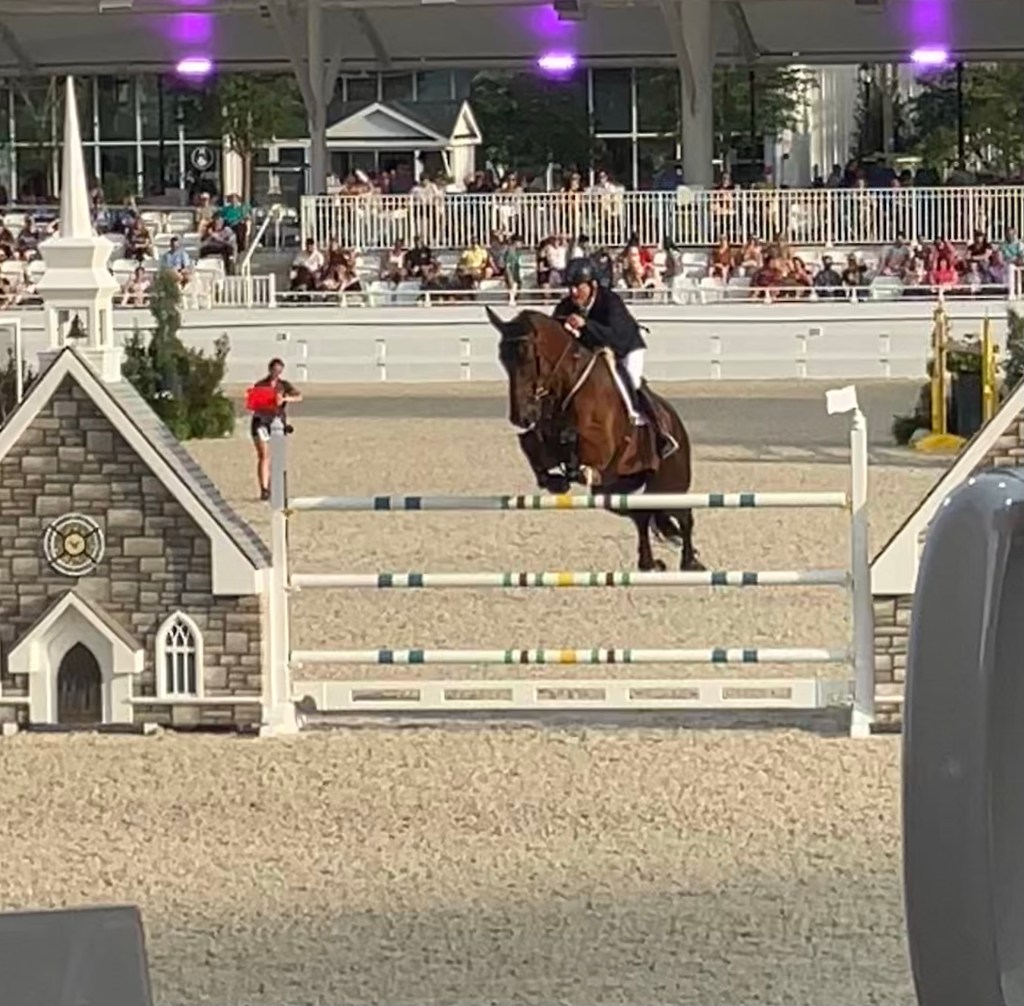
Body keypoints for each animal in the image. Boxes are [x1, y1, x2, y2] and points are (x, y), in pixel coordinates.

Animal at [486, 306, 703, 572]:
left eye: (527, 356)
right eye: (502, 359)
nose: (520, 417)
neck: (567, 383)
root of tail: (676, 423)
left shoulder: (602, 446)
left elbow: (572, 440)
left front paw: (573, 469)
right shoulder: (543, 434)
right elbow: (530, 442)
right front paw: (555, 480)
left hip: (669, 484)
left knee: (684, 514)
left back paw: (690, 561)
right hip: (616, 486)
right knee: (640, 514)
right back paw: (649, 562)